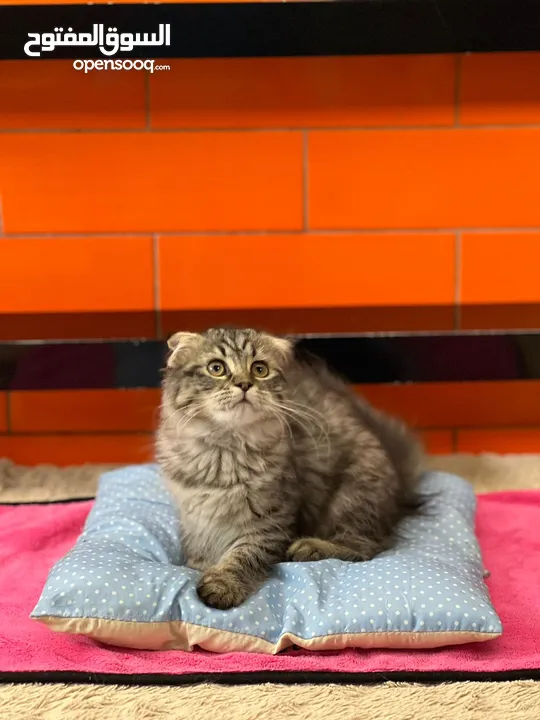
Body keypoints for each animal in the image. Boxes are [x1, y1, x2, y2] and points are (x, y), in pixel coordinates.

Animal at [156, 330, 422, 612]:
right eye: (216, 368)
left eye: (259, 369)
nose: (244, 384)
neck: (225, 452)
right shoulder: (196, 517)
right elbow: (198, 550)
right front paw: (199, 565)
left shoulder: (270, 520)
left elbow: (244, 556)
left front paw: (222, 584)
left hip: (353, 496)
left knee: (365, 546)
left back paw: (310, 547)